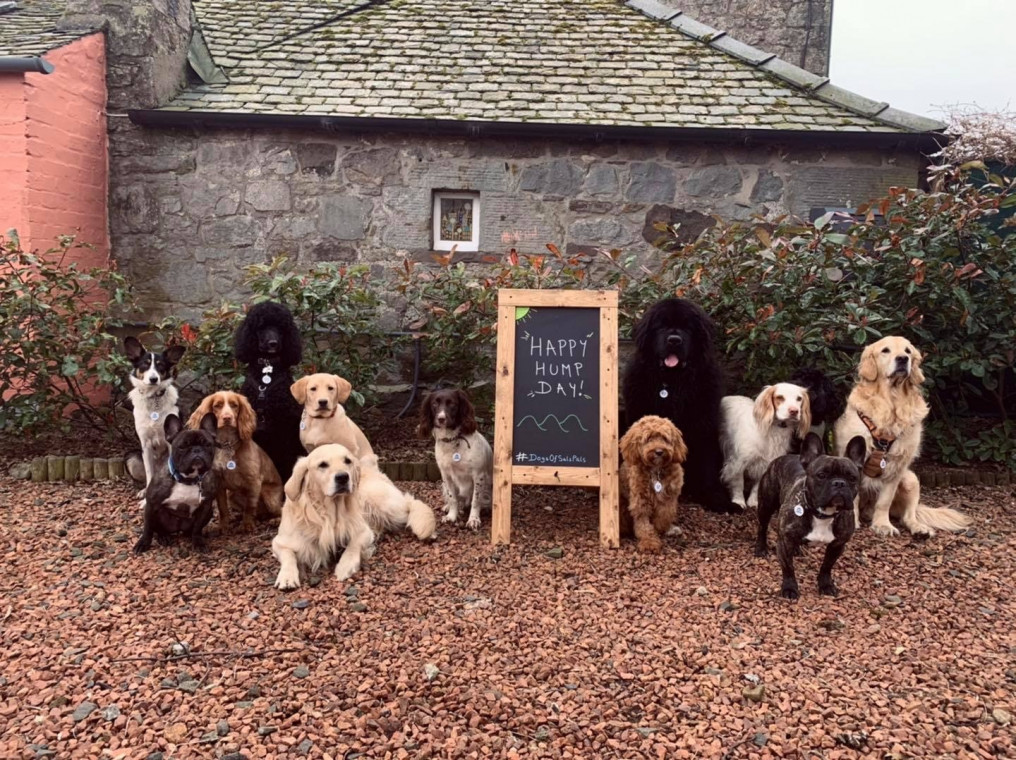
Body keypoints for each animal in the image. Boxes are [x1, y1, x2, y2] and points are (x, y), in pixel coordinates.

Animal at [617, 300, 739, 514]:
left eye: (687, 328)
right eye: (661, 326)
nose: (674, 340)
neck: (671, 383)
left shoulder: (704, 423)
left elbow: (706, 462)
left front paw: (716, 499)